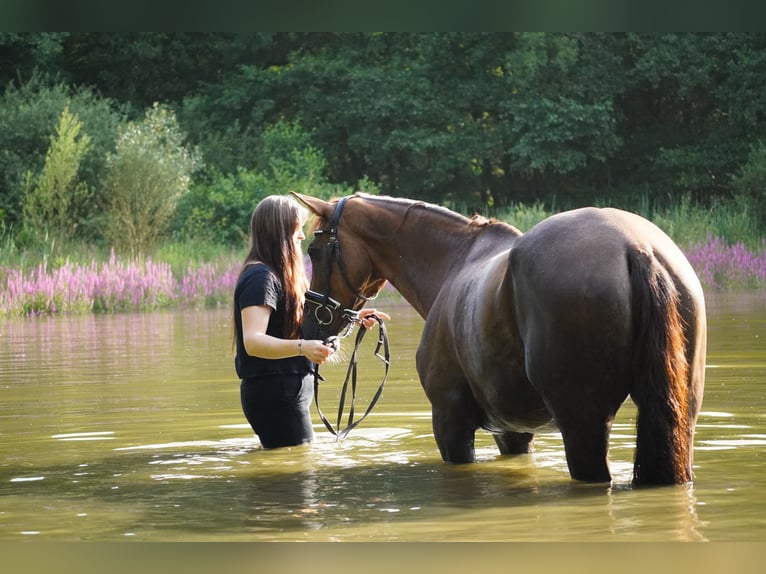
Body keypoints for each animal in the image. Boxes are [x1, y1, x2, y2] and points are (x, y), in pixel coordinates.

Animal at [294, 194, 708, 486]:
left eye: (314, 250)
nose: (309, 327)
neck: (454, 262)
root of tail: (636, 247)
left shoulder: (450, 422)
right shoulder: (514, 431)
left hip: (583, 425)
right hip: (678, 420)